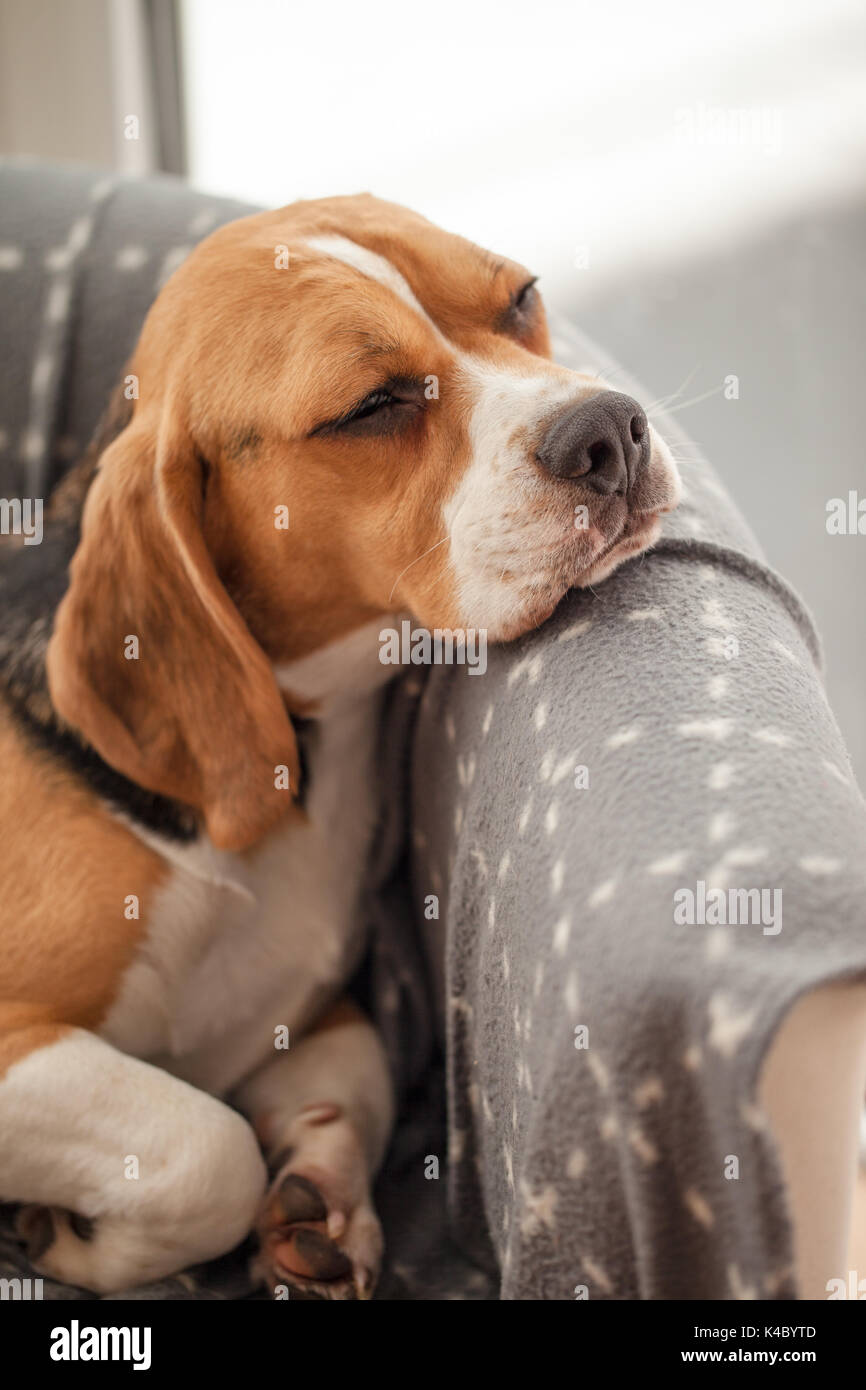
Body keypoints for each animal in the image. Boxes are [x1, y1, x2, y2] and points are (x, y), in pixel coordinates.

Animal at [0, 190, 678, 1295]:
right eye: (371, 407)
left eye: (521, 297)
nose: (609, 433)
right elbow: (206, 1145)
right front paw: (81, 1241)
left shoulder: (315, 1012)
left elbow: (351, 1080)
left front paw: (318, 1199)